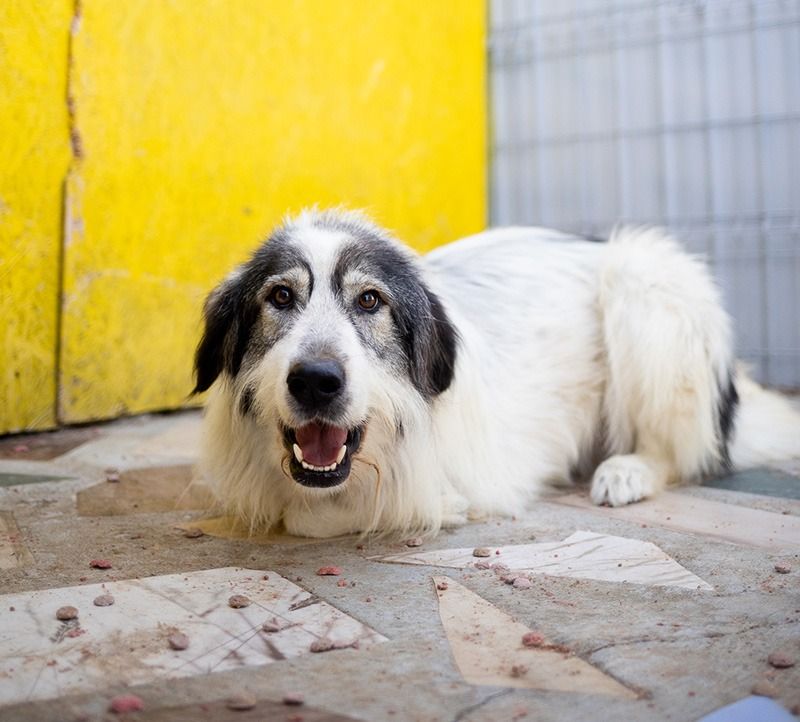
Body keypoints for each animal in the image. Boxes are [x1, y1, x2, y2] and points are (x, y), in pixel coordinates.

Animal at [194, 208, 800, 536]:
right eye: (279, 296)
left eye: (369, 300)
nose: (317, 380)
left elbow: (320, 514)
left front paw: (444, 505)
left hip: (643, 277)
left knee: (686, 451)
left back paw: (627, 471)